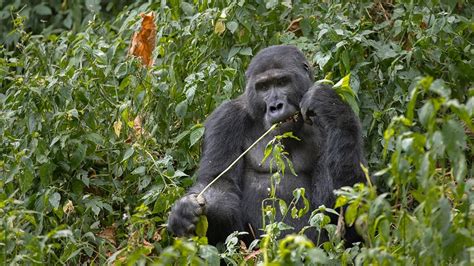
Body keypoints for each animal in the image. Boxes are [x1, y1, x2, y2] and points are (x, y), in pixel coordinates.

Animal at [168, 44, 366, 244]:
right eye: (263, 87)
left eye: (282, 82)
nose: (275, 106)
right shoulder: (225, 119)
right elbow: (219, 184)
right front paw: (187, 210)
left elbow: (342, 201)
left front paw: (329, 104)